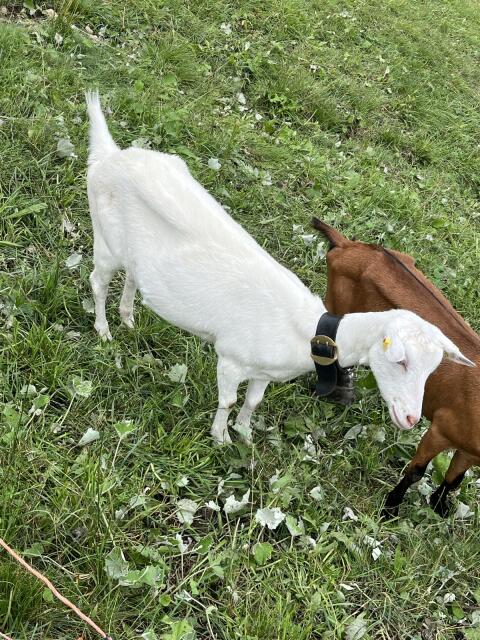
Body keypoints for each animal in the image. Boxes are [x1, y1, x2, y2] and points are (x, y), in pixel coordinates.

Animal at [85, 92, 473, 447]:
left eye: (433, 369)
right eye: (400, 361)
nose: (409, 419)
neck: (305, 332)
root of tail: (109, 154)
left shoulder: (263, 372)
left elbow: (254, 401)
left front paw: (244, 434)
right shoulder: (231, 358)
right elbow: (228, 400)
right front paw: (220, 437)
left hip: (135, 253)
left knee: (132, 276)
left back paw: (128, 319)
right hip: (105, 238)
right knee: (97, 281)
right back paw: (104, 331)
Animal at [313, 217, 479, 517]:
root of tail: (347, 245)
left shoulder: (470, 449)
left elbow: (455, 478)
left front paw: (439, 505)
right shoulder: (440, 429)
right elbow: (416, 471)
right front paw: (390, 508)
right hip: (337, 305)